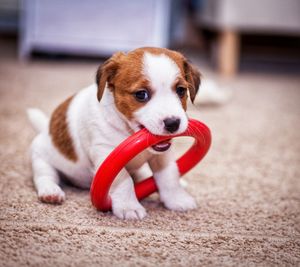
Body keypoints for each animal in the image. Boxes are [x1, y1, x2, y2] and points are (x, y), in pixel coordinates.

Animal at [28, 47, 200, 221]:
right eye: (141, 94)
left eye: (181, 90)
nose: (173, 123)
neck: (127, 130)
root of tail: (45, 128)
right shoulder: (106, 153)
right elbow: (124, 180)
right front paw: (129, 206)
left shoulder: (163, 156)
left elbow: (168, 175)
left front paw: (177, 198)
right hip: (41, 157)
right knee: (45, 175)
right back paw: (51, 192)